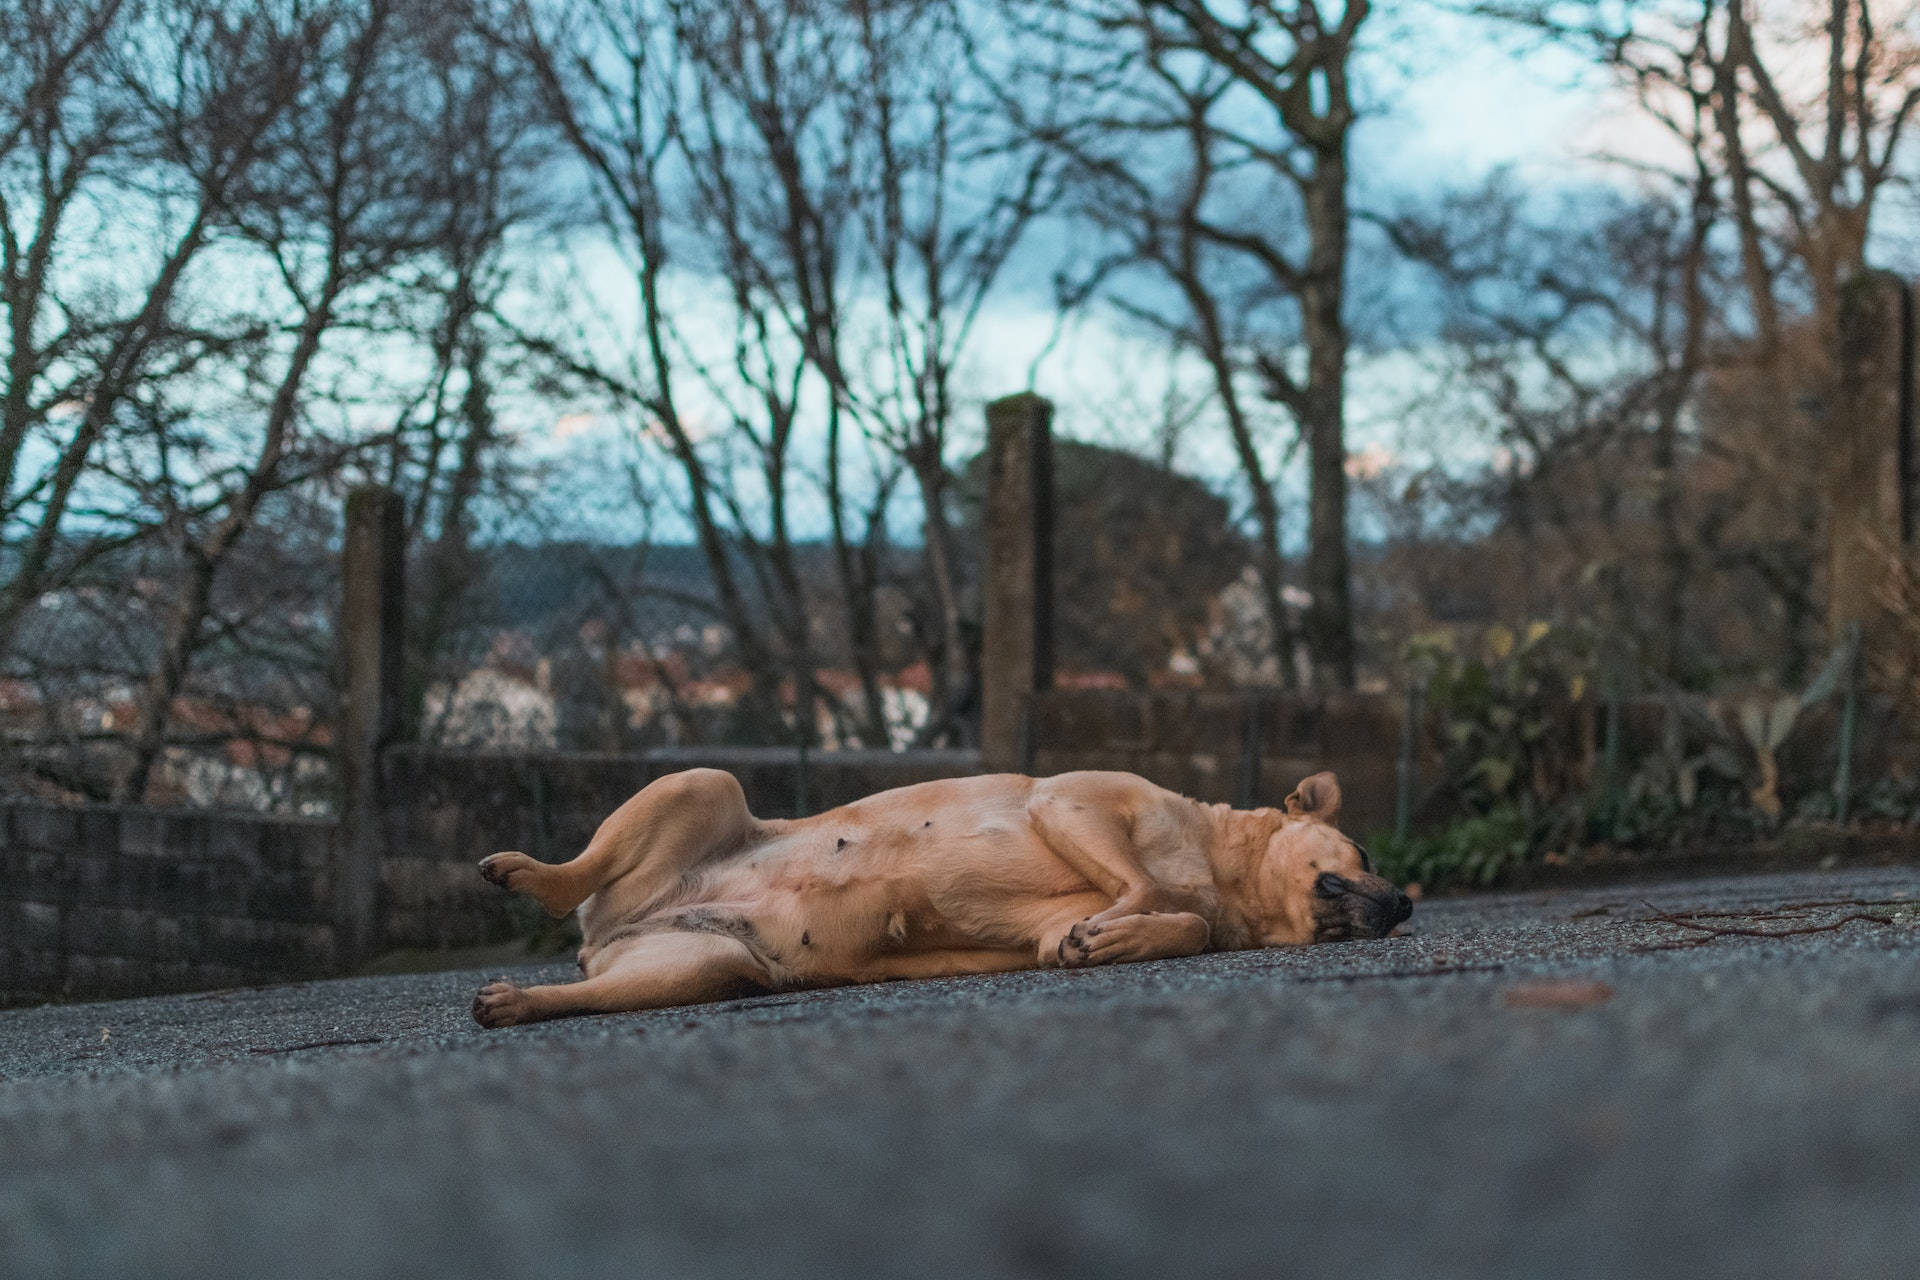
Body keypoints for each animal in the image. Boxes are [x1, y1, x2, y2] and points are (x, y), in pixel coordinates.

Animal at [474, 767, 1420, 1028]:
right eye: (1367, 851)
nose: (1409, 903)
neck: (1226, 876)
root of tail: (614, 930)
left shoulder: (1055, 922)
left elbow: (1179, 923)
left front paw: (1114, 937)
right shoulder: (1073, 803)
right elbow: (1154, 888)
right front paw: (1126, 918)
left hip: (703, 966)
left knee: (587, 991)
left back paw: (519, 1001)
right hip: (704, 782)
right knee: (571, 879)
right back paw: (524, 872)